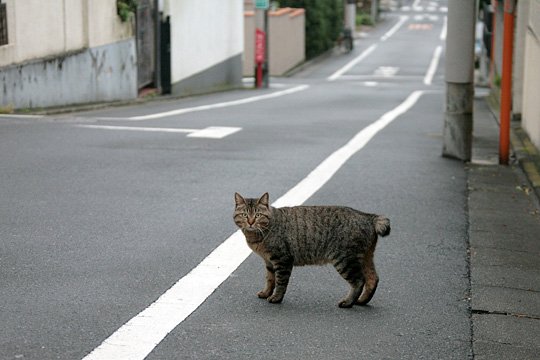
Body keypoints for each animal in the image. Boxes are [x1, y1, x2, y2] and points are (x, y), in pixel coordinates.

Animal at [234, 193, 390, 308]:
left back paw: (348, 302)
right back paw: (362, 301)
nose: (251, 222)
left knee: (359, 281)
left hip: (344, 260)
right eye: (244, 215)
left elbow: (280, 281)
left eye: (258, 215)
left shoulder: (282, 259)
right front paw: (266, 293)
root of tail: (367, 216)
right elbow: (270, 279)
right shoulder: (269, 261)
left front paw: (276, 298)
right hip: (365, 257)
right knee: (373, 278)